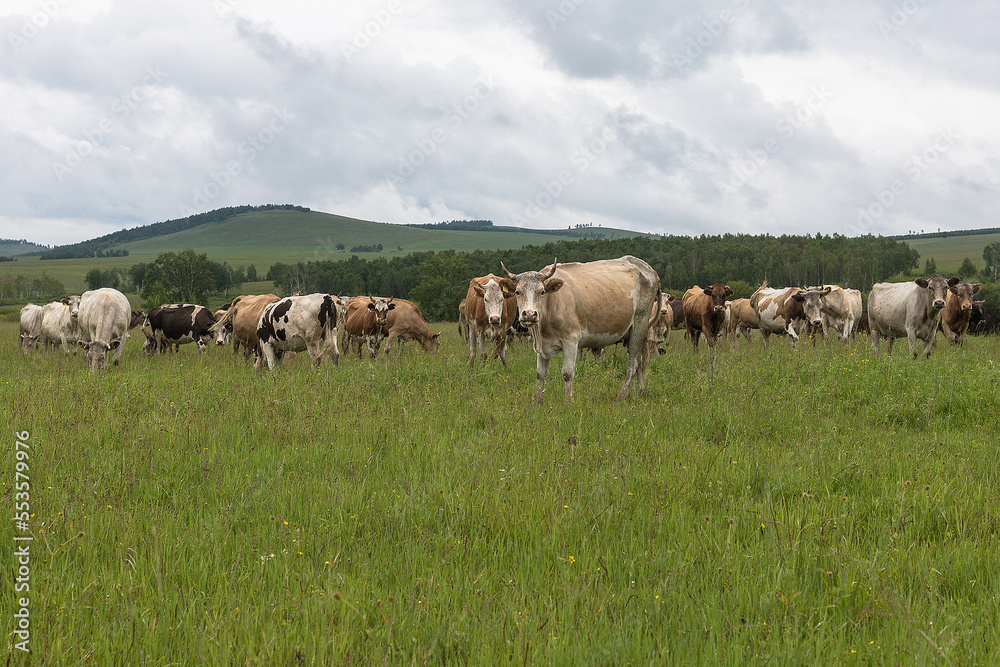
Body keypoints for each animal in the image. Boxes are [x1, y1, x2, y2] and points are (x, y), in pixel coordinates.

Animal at [504, 256, 660, 402]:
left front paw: (568, 403)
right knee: (640, 360)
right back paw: (640, 392)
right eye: (517, 292)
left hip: (640, 323)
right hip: (632, 333)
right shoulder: (541, 345)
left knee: (633, 362)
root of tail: (646, 267)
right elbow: (540, 374)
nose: (529, 314)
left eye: (542, 292)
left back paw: (622, 396)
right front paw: (537, 401)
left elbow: (567, 374)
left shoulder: (571, 340)